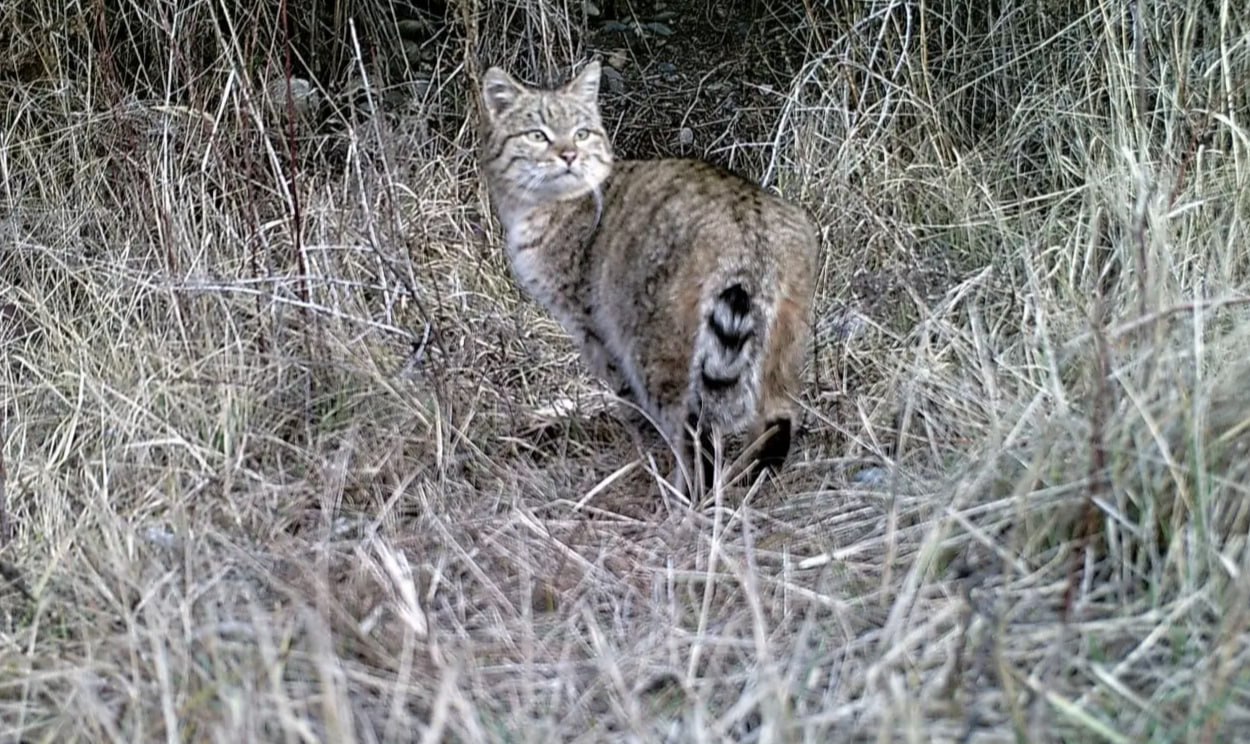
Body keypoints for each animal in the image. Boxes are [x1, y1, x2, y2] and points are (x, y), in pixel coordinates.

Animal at [480, 62, 820, 495]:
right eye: (537, 135)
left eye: (581, 132)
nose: (569, 155)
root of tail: (749, 223)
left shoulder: (593, 329)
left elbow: (627, 399)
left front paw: (642, 444)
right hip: (784, 346)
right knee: (779, 417)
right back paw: (751, 475)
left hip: (659, 350)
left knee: (694, 431)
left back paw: (686, 493)